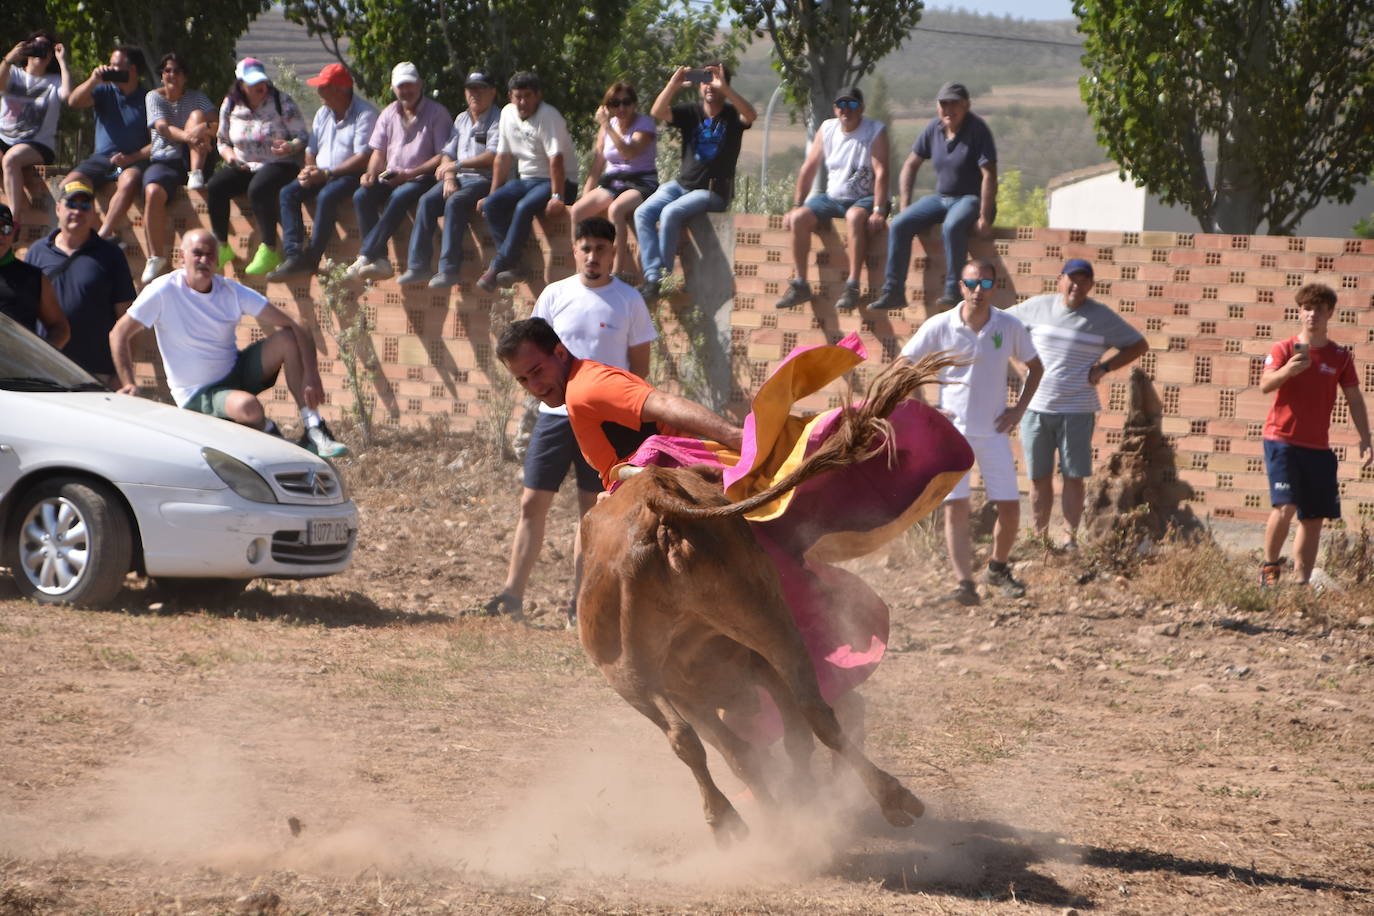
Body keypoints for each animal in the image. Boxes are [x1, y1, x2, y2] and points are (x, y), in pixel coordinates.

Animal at [574, 357, 950, 845]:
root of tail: (657, 497)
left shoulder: (693, 692)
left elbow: (741, 749)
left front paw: (781, 806)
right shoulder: (725, 680)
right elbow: (765, 744)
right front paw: (793, 803)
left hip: (630, 670)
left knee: (687, 737)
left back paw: (730, 819)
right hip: (765, 619)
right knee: (813, 708)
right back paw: (889, 799)